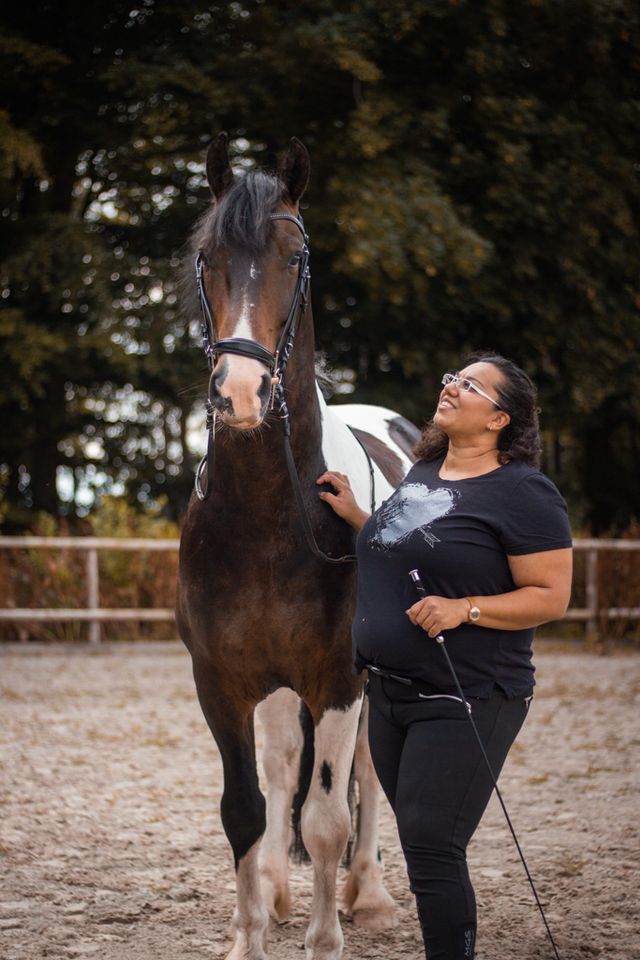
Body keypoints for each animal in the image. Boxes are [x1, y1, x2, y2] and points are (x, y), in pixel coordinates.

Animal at [175, 135, 418, 960]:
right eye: (208, 255)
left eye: (294, 256)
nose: (242, 392)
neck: (268, 515)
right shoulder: (219, 681)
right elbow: (246, 808)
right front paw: (249, 934)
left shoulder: (340, 679)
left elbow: (328, 818)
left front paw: (326, 937)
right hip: (277, 687)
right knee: (283, 769)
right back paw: (279, 891)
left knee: (368, 776)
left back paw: (366, 895)